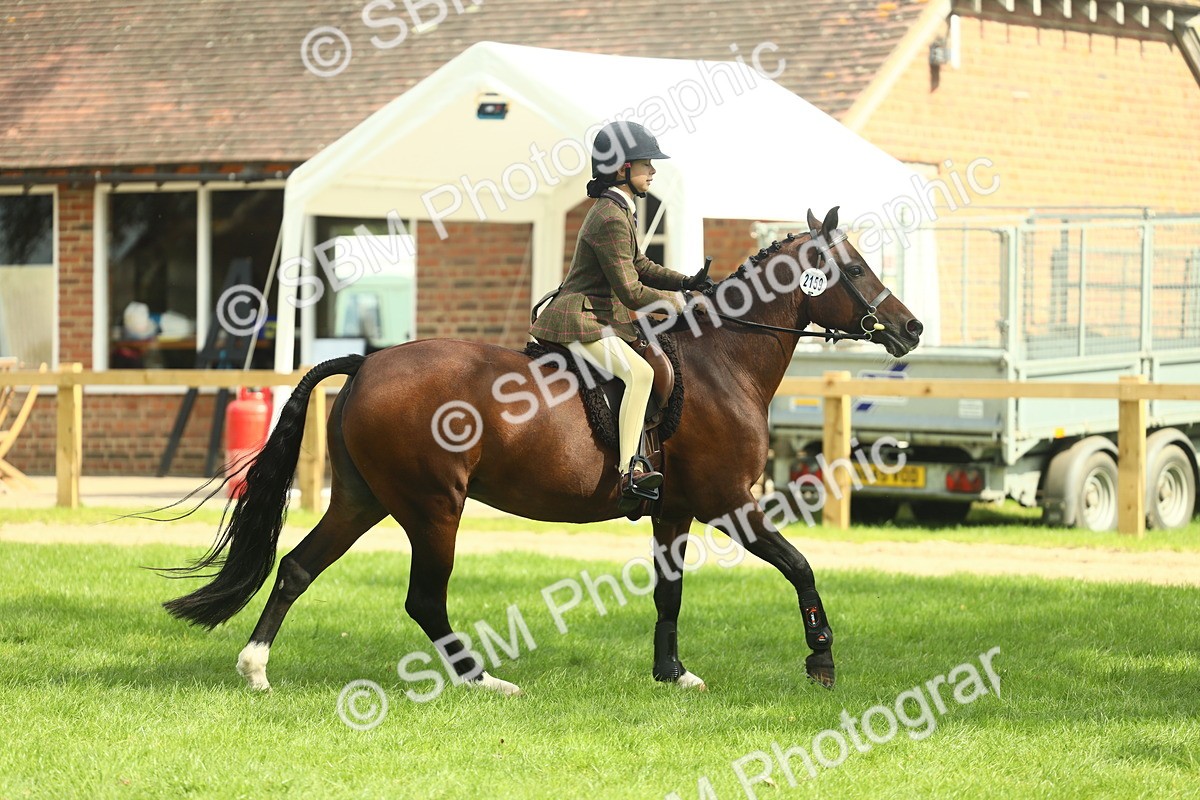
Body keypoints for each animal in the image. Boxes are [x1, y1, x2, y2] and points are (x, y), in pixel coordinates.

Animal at [159, 206, 923, 695]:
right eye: (856, 268)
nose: (911, 328)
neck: (721, 364)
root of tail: (368, 363)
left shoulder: (673, 511)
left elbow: (669, 593)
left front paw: (672, 674)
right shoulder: (730, 504)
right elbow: (800, 568)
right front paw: (821, 661)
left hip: (363, 498)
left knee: (296, 567)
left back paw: (256, 669)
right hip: (434, 507)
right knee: (423, 599)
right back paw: (482, 680)